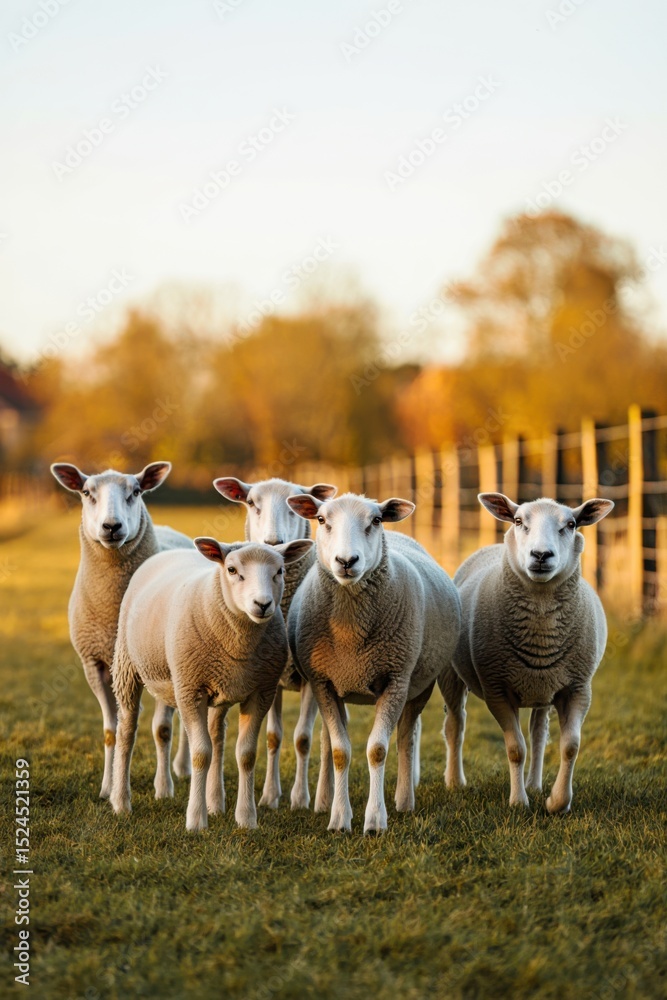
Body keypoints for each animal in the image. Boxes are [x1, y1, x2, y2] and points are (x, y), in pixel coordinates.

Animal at [50, 461, 193, 799]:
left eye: (136, 491)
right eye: (86, 492)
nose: (112, 526)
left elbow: (162, 729)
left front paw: (163, 788)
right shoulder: (95, 663)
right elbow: (110, 730)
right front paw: (107, 787)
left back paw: (182, 768)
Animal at [109, 536, 314, 831]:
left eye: (280, 571)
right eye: (232, 570)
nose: (262, 604)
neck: (240, 641)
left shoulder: (260, 692)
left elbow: (246, 755)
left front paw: (246, 818)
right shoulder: (189, 690)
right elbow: (200, 754)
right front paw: (196, 820)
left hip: (219, 688)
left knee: (217, 736)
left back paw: (215, 802)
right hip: (127, 665)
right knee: (127, 730)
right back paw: (121, 802)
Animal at [213, 476, 337, 810]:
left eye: (294, 505)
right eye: (251, 503)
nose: (272, 542)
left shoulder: (309, 678)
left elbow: (303, 739)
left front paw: (299, 798)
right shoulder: (273, 677)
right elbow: (273, 737)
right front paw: (269, 796)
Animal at [285, 492, 464, 834]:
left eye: (376, 520)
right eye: (321, 520)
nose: (346, 561)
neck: (350, 634)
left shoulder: (395, 679)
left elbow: (378, 750)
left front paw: (375, 820)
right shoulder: (323, 682)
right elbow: (340, 751)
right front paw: (339, 818)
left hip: (419, 682)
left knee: (407, 736)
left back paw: (404, 800)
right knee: (327, 741)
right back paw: (323, 800)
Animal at [447, 493, 614, 813]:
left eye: (571, 524)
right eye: (518, 521)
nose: (540, 555)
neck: (541, 630)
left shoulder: (577, 688)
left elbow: (570, 746)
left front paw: (557, 803)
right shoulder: (497, 690)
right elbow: (515, 749)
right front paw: (518, 802)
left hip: (544, 687)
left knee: (539, 734)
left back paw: (535, 785)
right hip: (450, 675)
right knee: (455, 725)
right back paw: (455, 782)